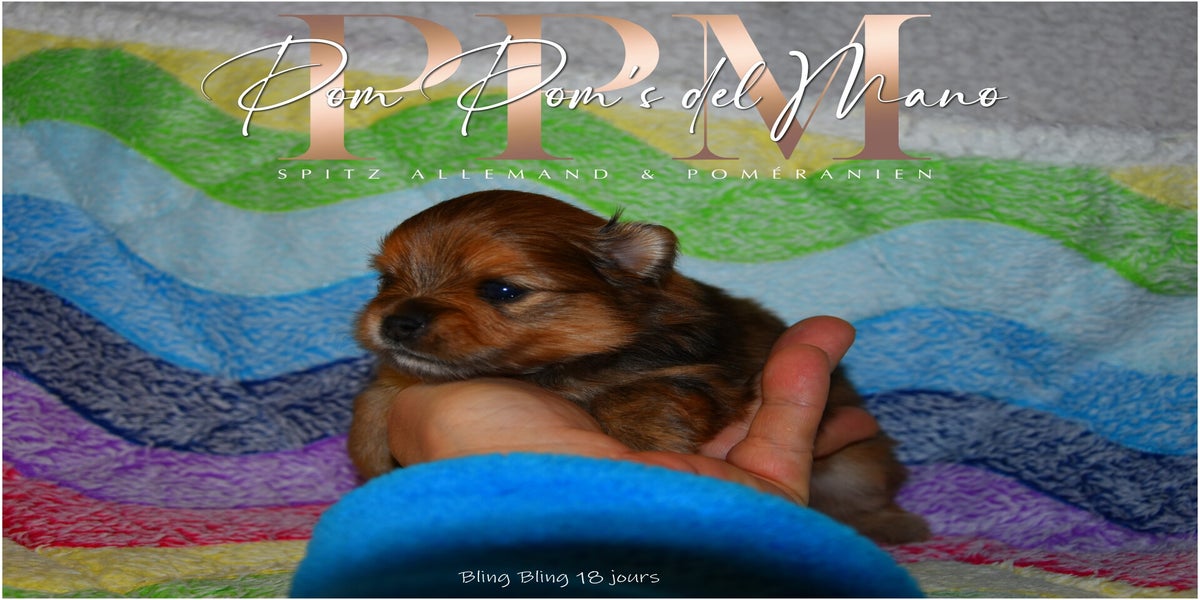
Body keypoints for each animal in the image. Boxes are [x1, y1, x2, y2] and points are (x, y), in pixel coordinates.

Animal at [348, 190, 930, 544]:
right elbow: (378, 394)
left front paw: (651, 437)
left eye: (502, 291)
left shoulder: (703, 378)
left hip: (854, 464)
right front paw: (371, 453)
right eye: (385, 281)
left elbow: (629, 394)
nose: (397, 321)